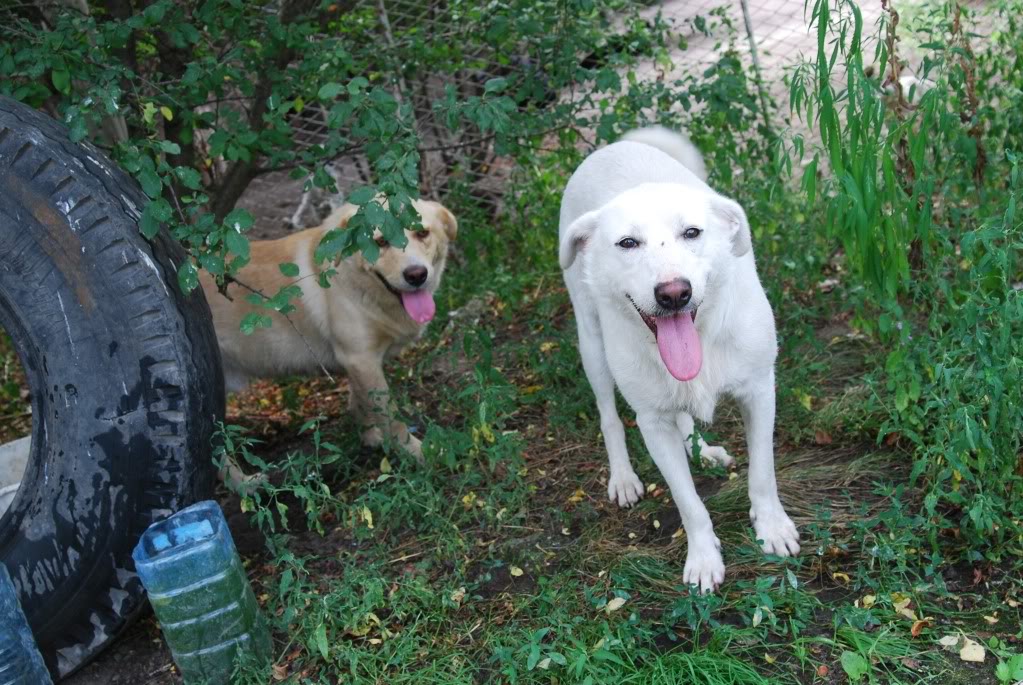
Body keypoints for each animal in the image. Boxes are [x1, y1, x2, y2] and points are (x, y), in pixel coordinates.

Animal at [201, 198, 458, 472]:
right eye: (380, 242)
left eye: (422, 233)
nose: (416, 275)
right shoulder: (360, 358)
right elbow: (391, 416)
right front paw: (417, 453)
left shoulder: (359, 362)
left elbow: (360, 402)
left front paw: (370, 437)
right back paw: (247, 481)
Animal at [560, 126, 797, 592]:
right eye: (627, 243)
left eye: (692, 233)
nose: (674, 294)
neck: (703, 335)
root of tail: (614, 146)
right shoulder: (652, 423)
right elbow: (688, 503)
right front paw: (704, 558)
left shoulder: (760, 390)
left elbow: (763, 473)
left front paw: (772, 527)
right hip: (591, 344)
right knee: (608, 415)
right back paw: (623, 476)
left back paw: (701, 450)